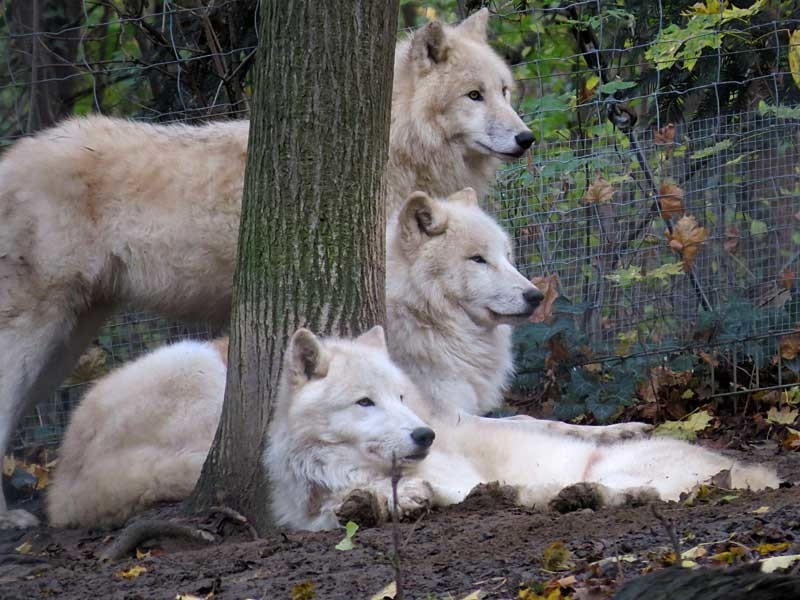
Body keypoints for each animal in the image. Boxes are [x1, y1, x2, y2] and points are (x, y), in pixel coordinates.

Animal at [0, 7, 536, 528]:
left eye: (505, 91)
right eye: (474, 95)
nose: (526, 137)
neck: (398, 142)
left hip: (67, 342)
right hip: (46, 337)